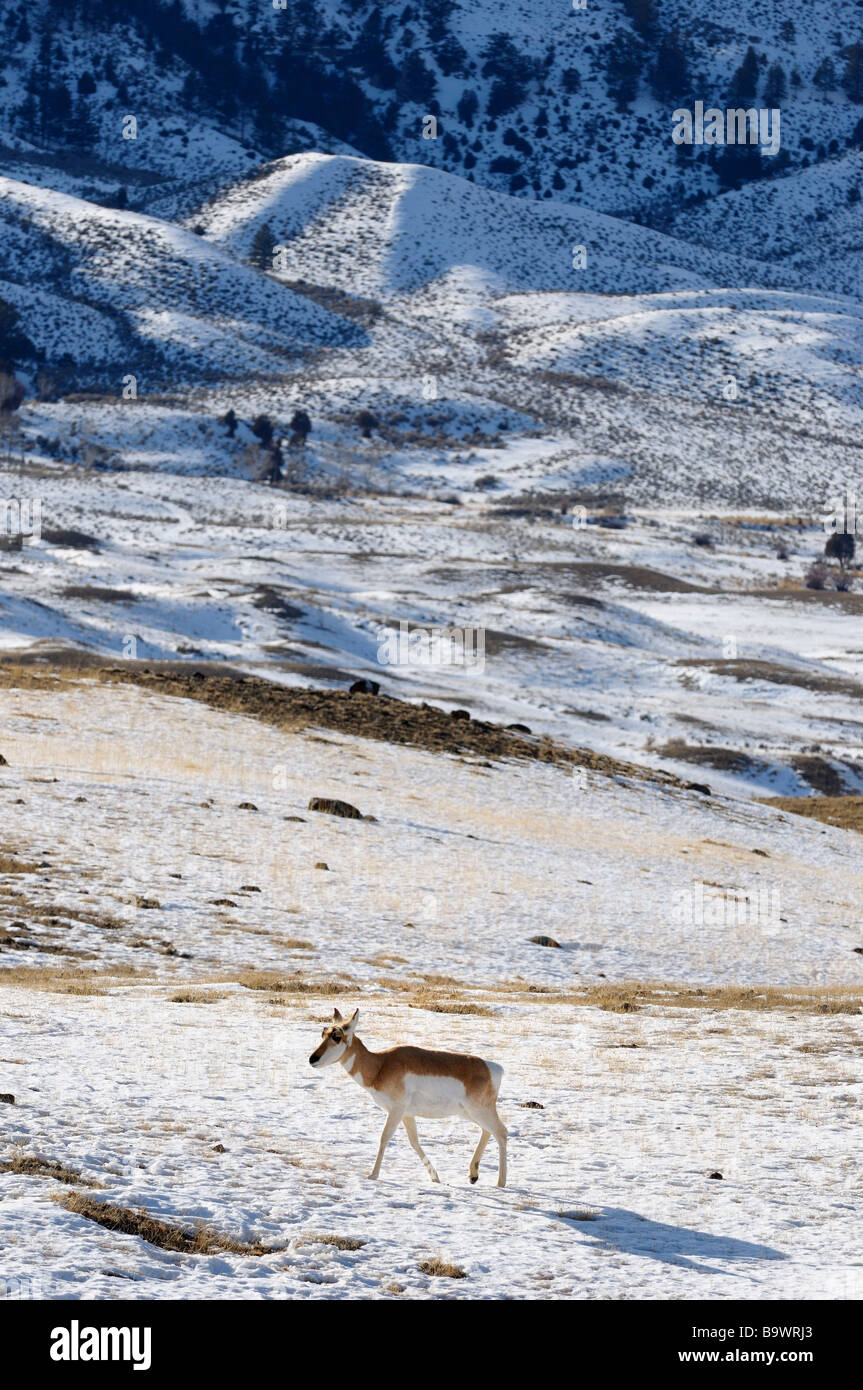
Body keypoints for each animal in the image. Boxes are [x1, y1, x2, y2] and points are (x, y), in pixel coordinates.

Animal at [308, 1011, 505, 1184]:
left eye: (337, 1036)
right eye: (323, 1033)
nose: (312, 1059)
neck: (381, 1065)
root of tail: (492, 1068)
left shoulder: (396, 1110)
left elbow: (384, 1137)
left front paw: (373, 1175)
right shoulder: (408, 1114)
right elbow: (414, 1142)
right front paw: (435, 1177)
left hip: (479, 1111)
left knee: (501, 1132)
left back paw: (500, 1183)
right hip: (468, 1113)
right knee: (488, 1131)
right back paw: (473, 1175)